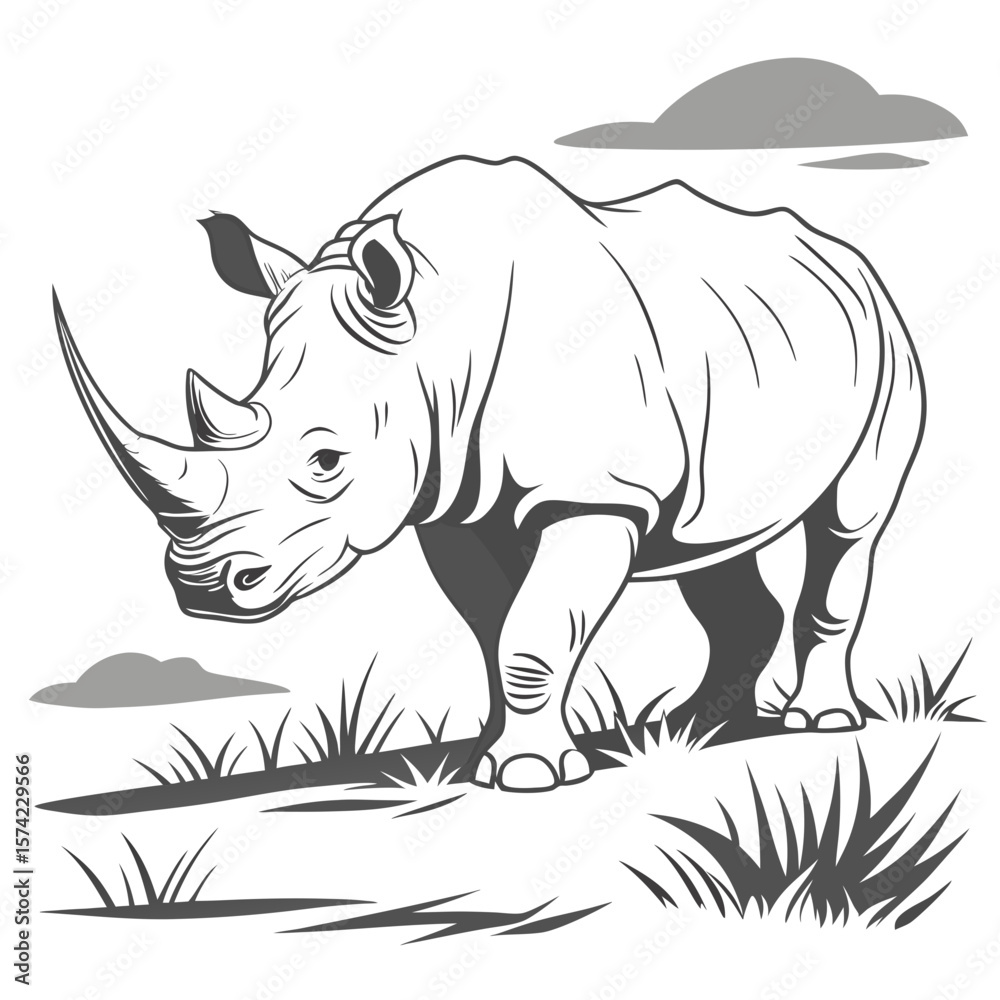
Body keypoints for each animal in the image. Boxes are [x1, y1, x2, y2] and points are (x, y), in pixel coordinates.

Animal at [55, 155, 924, 792]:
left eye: (326, 460)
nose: (202, 588)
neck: (437, 336)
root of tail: (849, 259)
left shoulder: (593, 498)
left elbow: (532, 632)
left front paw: (532, 775)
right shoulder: (450, 503)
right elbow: (490, 628)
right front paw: (496, 757)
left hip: (886, 341)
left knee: (848, 525)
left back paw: (817, 723)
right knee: (709, 541)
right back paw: (686, 730)